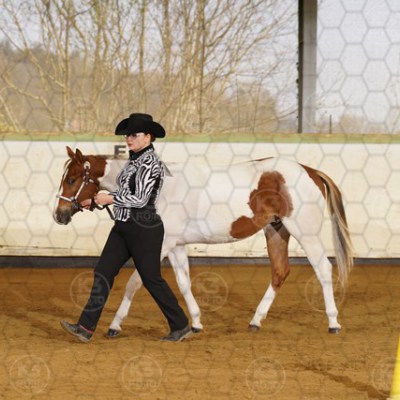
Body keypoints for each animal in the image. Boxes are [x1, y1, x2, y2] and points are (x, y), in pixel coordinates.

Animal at [53, 146, 353, 337]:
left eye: (72, 179)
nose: (59, 215)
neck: (155, 190)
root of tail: (309, 171)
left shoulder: (161, 245)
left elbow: (136, 282)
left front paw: (115, 325)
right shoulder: (175, 245)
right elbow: (183, 283)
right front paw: (195, 323)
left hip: (305, 232)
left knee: (323, 269)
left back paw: (334, 322)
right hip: (276, 231)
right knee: (280, 272)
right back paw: (256, 321)